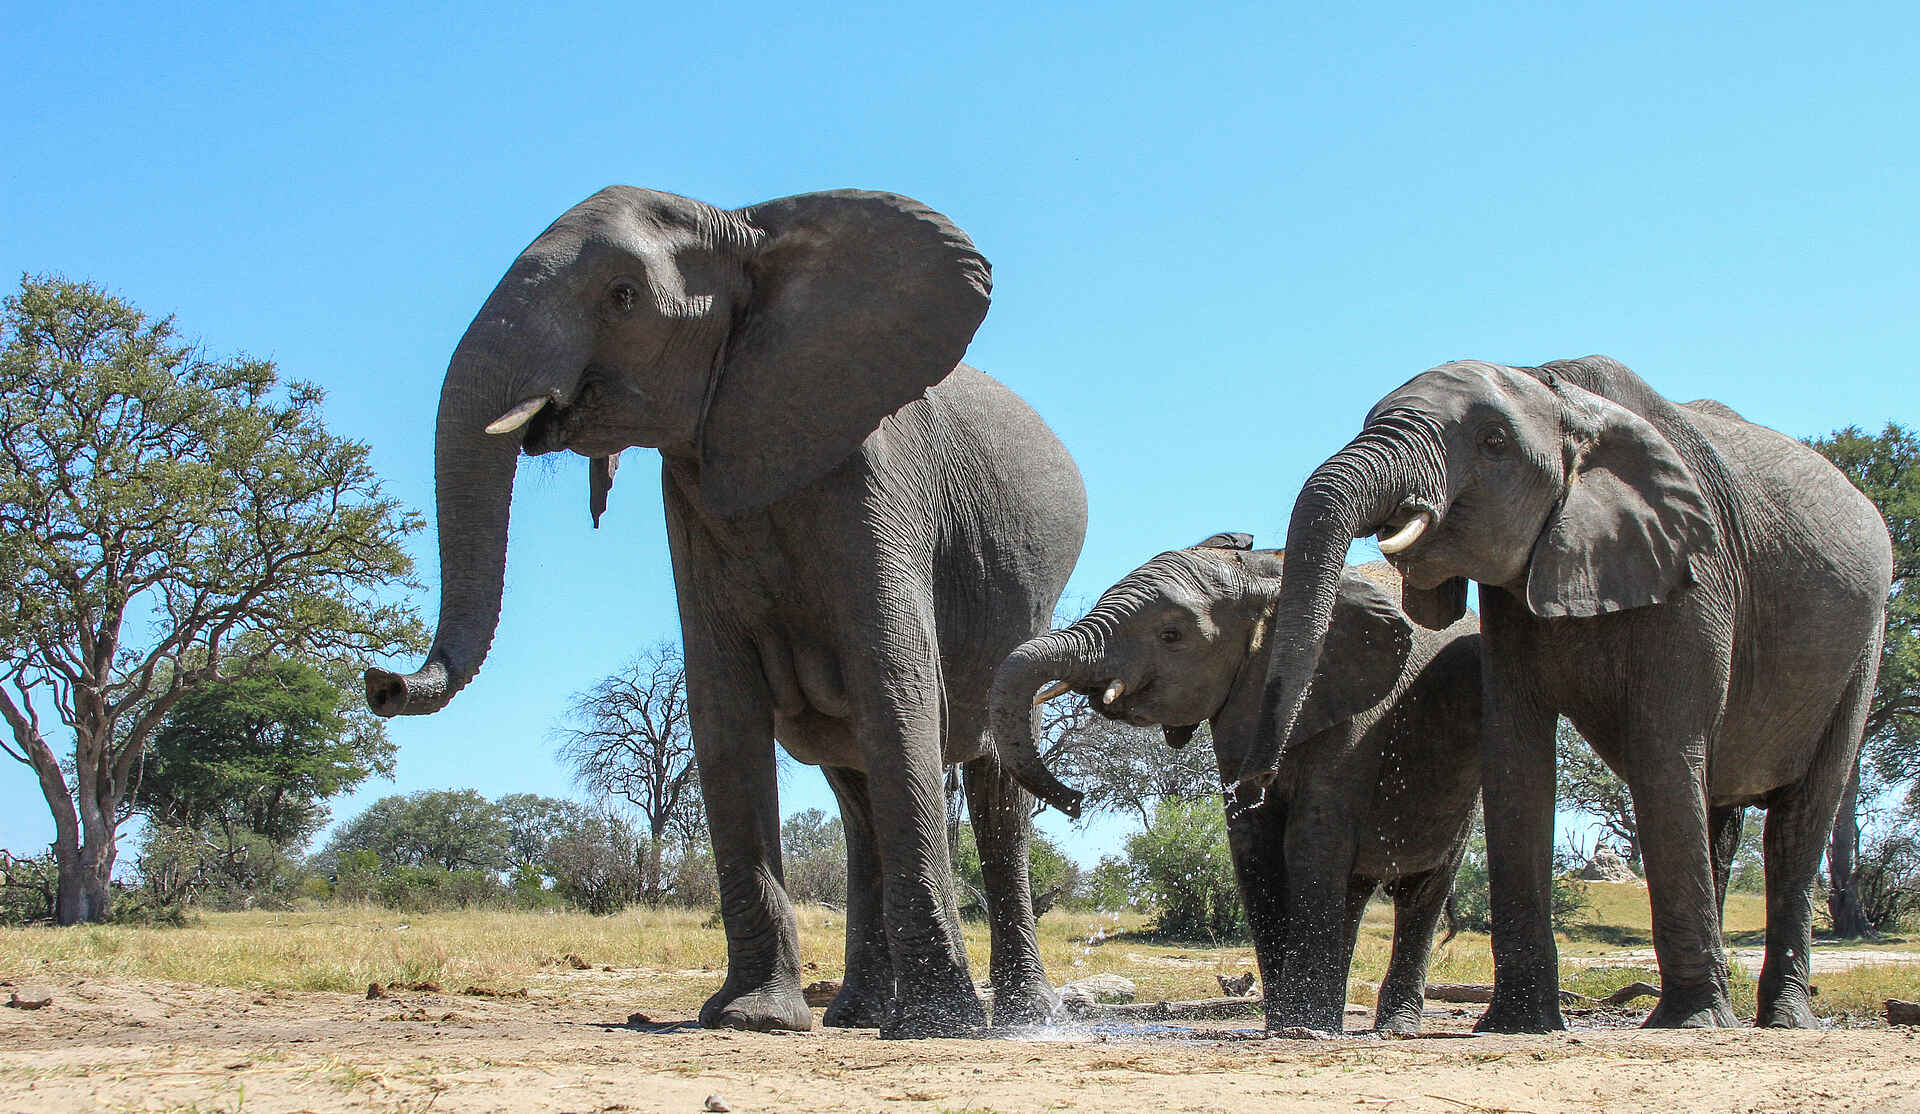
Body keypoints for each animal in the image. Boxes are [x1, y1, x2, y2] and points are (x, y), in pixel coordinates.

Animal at [362, 186, 1087, 1037]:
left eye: (622, 297)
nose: (380, 683)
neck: (748, 230)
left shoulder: (880, 478)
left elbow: (894, 684)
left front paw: (941, 1028)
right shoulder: (688, 491)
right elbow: (721, 707)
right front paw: (754, 1019)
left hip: (1026, 599)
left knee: (993, 782)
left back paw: (1017, 1018)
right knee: (857, 799)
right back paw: (855, 1016)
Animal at [992, 534, 1482, 1033]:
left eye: (1171, 635)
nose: (1075, 801)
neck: (1268, 573)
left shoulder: (1360, 714)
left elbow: (1313, 836)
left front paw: (1300, 1026)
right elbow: (1252, 843)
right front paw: (1287, 1024)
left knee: (1422, 890)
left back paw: (1392, 1027)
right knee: (1356, 891)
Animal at [1250, 356, 1892, 1032]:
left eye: (1493, 443)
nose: (1258, 783)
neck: (1557, 392)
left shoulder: (1697, 569)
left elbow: (1664, 752)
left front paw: (1688, 1024)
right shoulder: (1512, 601)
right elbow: (1516, 758)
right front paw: (1515, 1024)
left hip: (1865, 640)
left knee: (1799, 820)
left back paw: (1780, 1020)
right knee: (1720, 812)